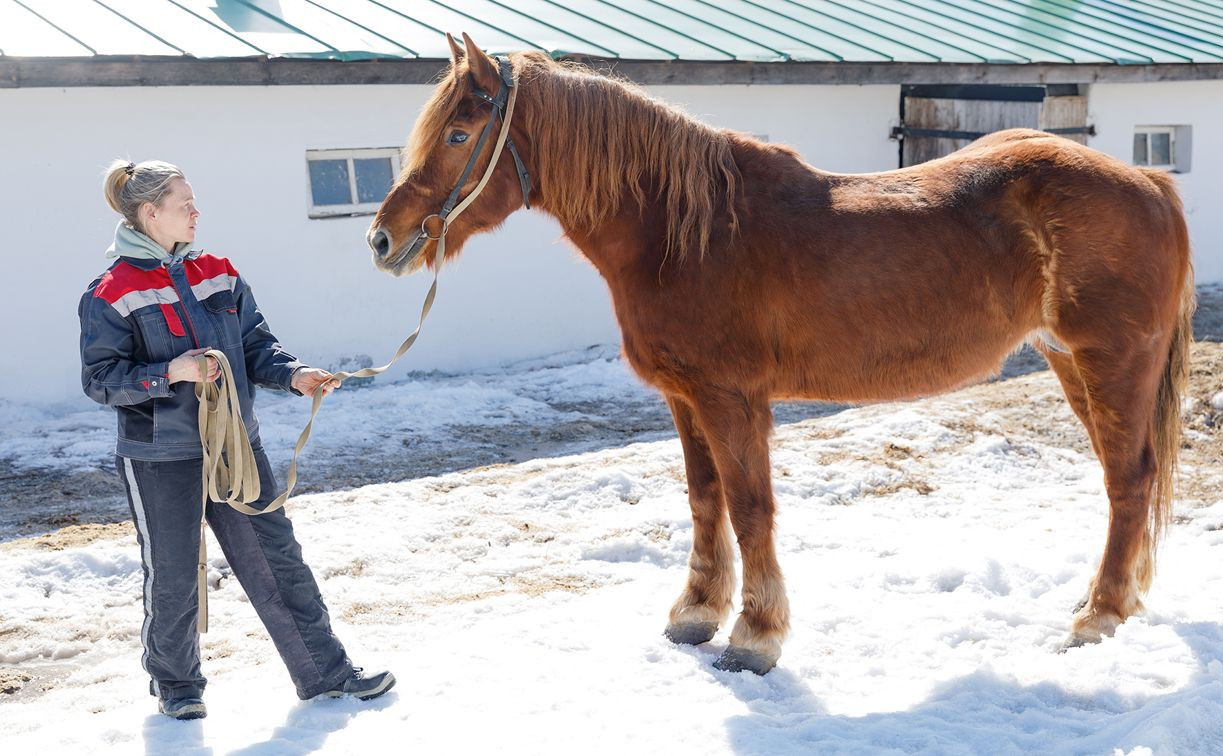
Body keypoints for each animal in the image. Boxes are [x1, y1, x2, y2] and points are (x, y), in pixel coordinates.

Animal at [364, 32, 1193, 675]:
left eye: (460, 135)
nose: (382, 239)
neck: (683, 232)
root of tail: (1148, 179)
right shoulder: (684, 397)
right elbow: (704, 501)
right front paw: (695, 613)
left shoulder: (731, 398)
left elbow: (749, 507)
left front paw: (754, 636)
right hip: (1069, 363)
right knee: (1127, 480)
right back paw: (1105, 602)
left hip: (1109, 362)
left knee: (1127, 482)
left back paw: (1097, 617)